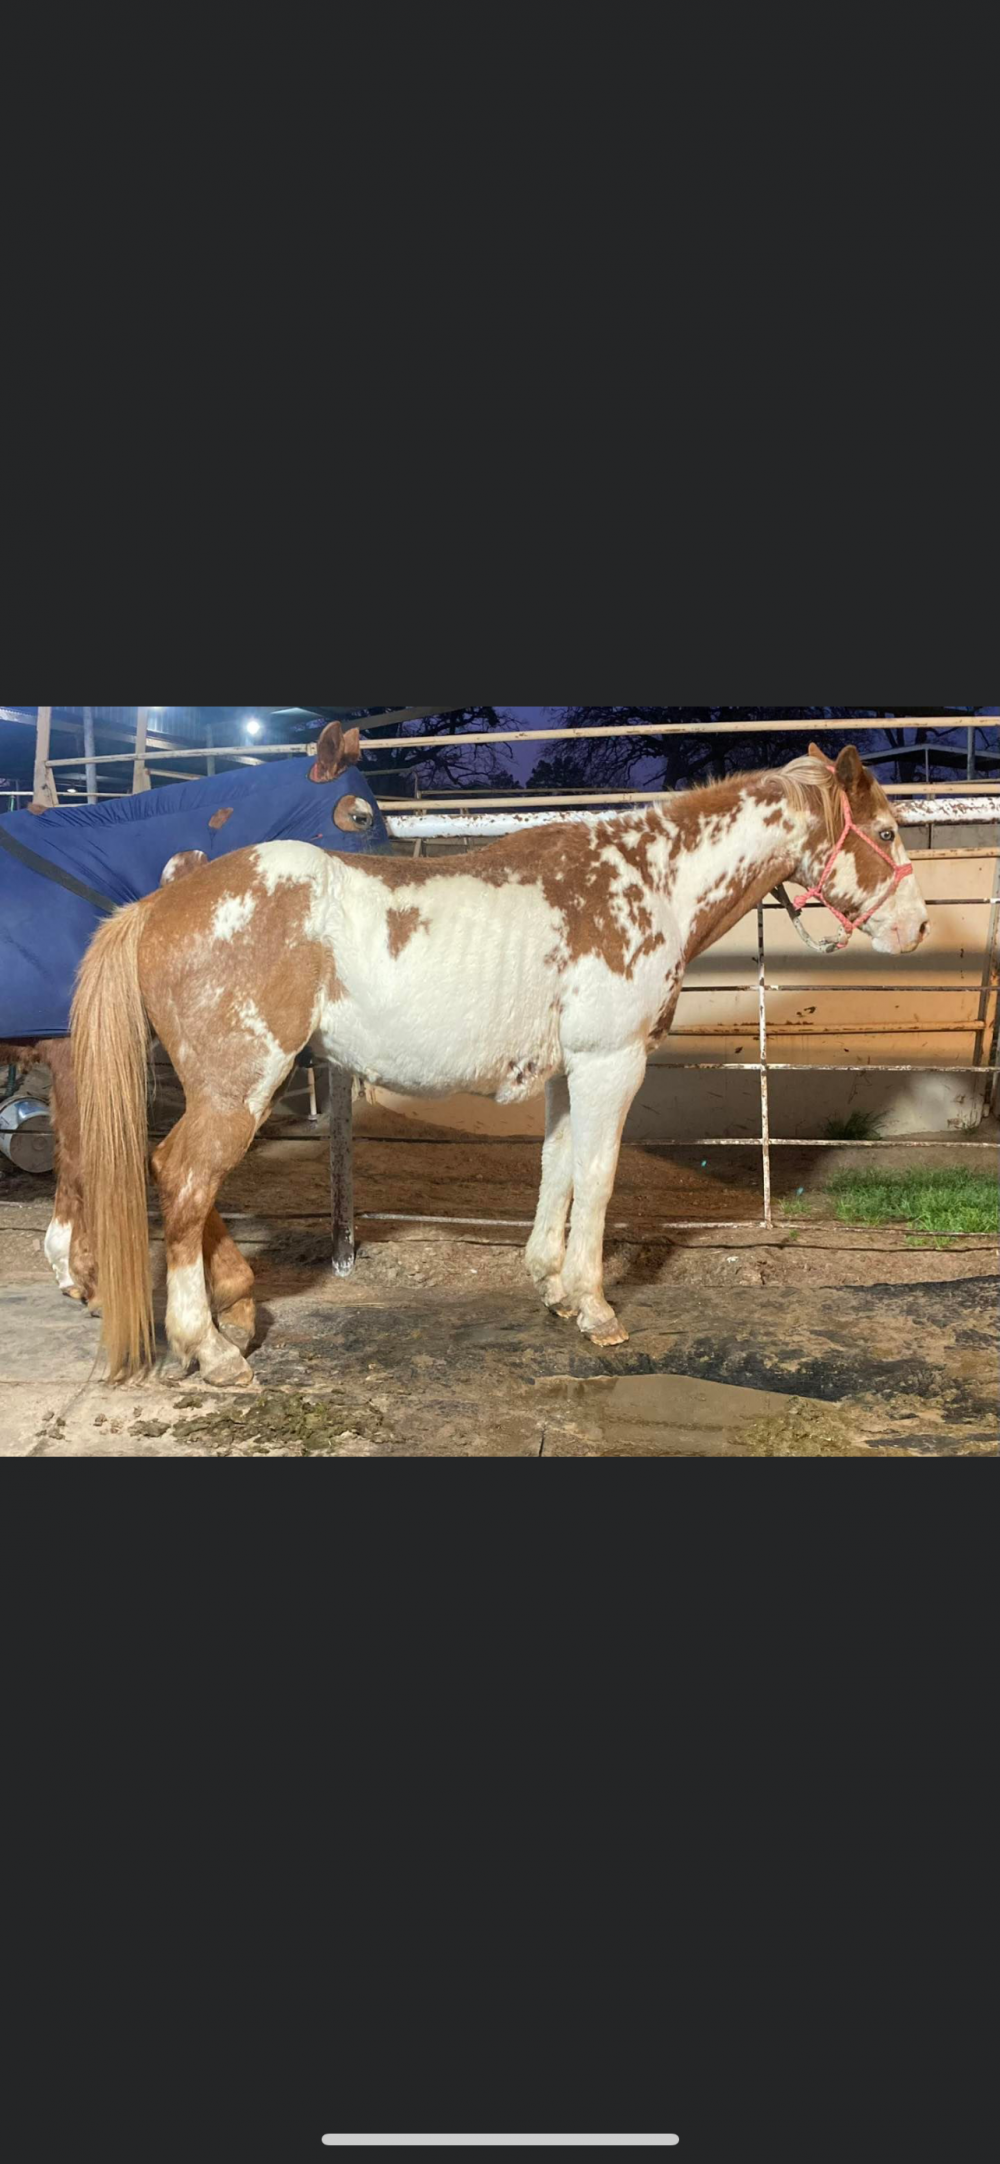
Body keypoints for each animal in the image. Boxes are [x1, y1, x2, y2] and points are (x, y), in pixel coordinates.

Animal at [72, 744, 928, 1387]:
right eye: (887, 832)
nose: (918, 928)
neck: (650, 882)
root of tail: (158, 905)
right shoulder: (612, 1065)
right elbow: (600, 1179)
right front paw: (595, 1308)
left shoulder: (569, 1073)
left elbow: (559, 1172)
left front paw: (551, 1285)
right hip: (240, 1085)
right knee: (186, 1179)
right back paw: (210, 1349)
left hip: (224, 1089)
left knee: (178, 1177)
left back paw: (234, 1313)